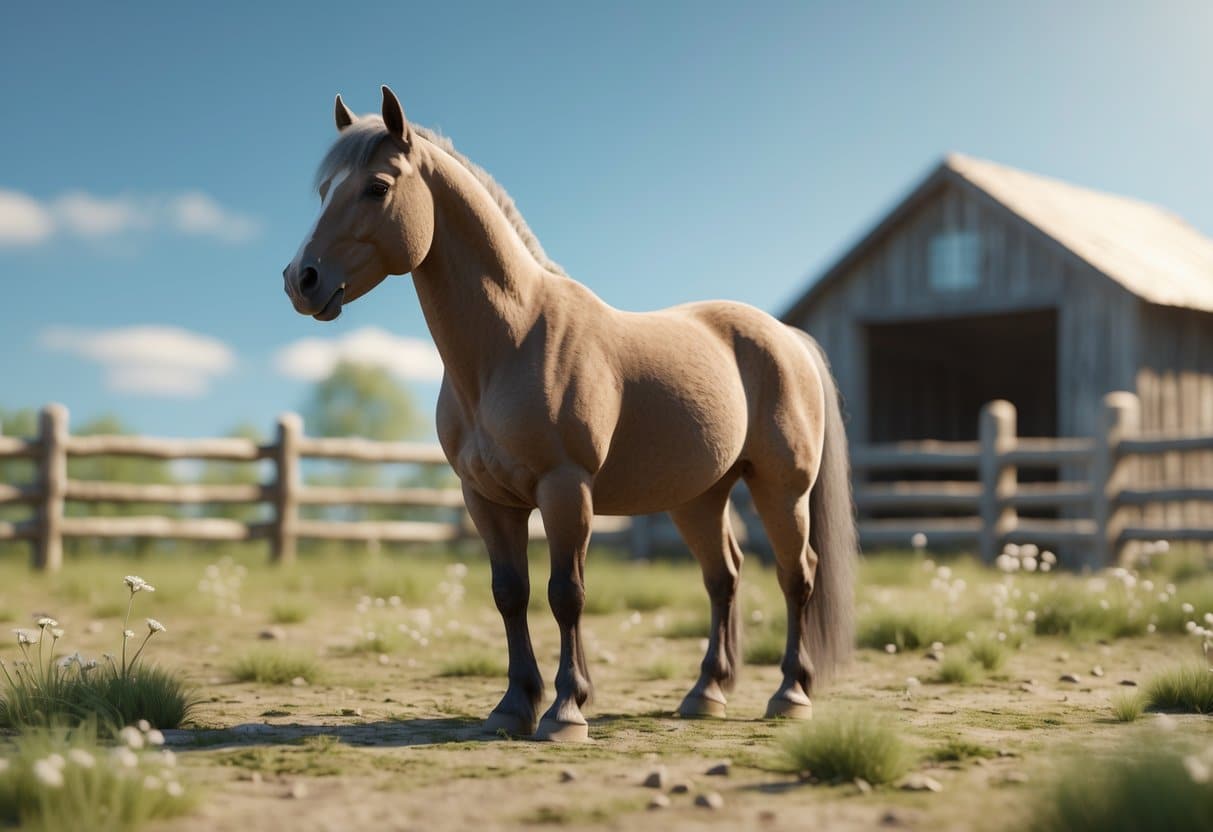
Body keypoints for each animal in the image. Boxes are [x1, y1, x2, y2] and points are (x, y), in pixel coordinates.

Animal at [283, 86, 857, 742]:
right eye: (324, 191)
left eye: (377, 187)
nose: (301, 280)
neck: (512, 342)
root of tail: (787, 336)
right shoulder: (487, 499)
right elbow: (511, 592)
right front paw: (513, 706)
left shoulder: (565, 490)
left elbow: (566, 594)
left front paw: (565, 710)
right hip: (698, 498)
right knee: (724, 577)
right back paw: (706, 692)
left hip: (781, 489)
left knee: (797, 574)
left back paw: (790, 693)